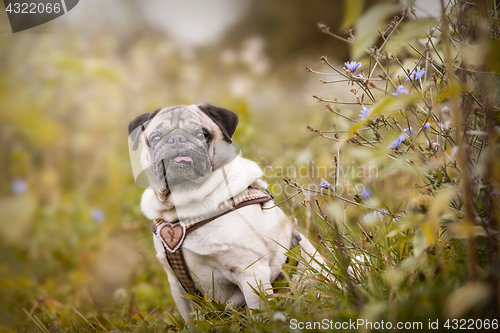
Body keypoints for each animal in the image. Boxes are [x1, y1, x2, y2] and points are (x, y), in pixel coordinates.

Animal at [128, 102, 324, 322]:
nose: (176, 139)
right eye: (155, 138)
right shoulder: (178, 286)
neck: (185, 208)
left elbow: (259, 315)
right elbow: (190, 322)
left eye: (202, 134)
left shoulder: (251, 273)